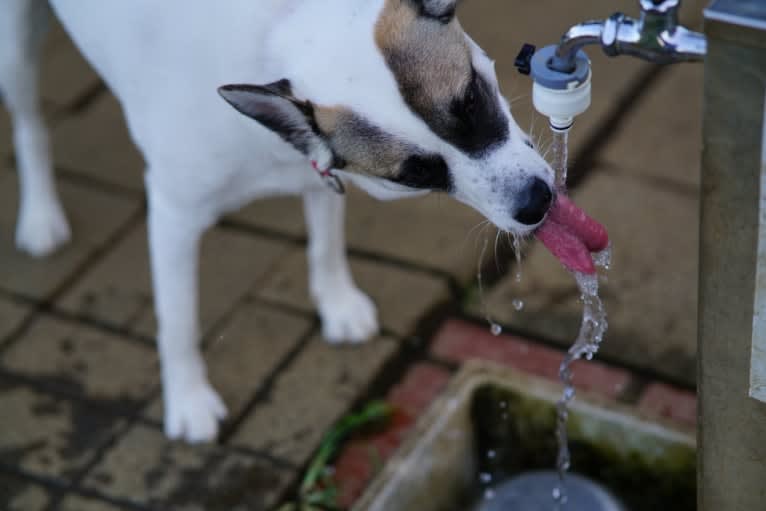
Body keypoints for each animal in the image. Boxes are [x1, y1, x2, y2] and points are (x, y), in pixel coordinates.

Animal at [3, 0, 560, 442]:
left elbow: (325, 242)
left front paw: (335, 301)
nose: (537, 202)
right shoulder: (173, 213)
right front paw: (187, 397)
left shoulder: (317, 168)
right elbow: (177, 319)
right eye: (417, 172)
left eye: (471, 99)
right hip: (16, 49)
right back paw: (40, 215)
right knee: (30, 122)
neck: (275, 34)